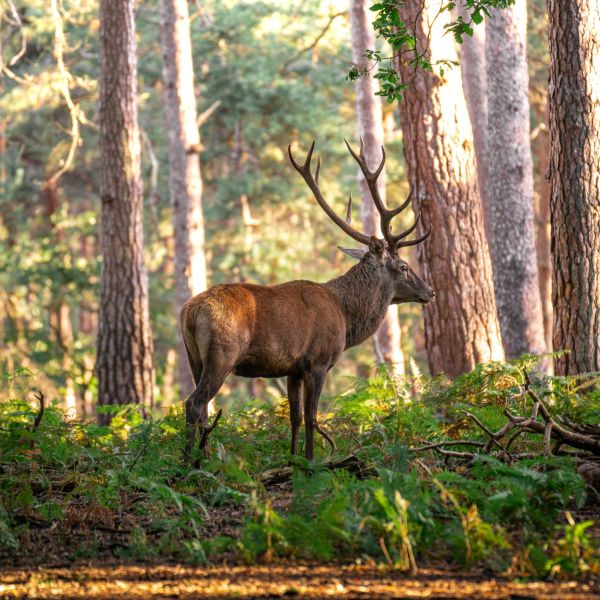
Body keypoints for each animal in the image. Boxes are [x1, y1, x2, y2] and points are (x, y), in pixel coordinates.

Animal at [180, 138, 434, 462]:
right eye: (403, 267)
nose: (430, 291)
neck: (345, 316)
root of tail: (190, 312)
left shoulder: (293, 369)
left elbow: (295, 417)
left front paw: (292, 460)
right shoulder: (318, 361)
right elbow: (313, 417)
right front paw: (311, 461)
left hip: (193, 358)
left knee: (199, 407)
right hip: (221, 354)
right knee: (195, 404)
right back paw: (191, 464)